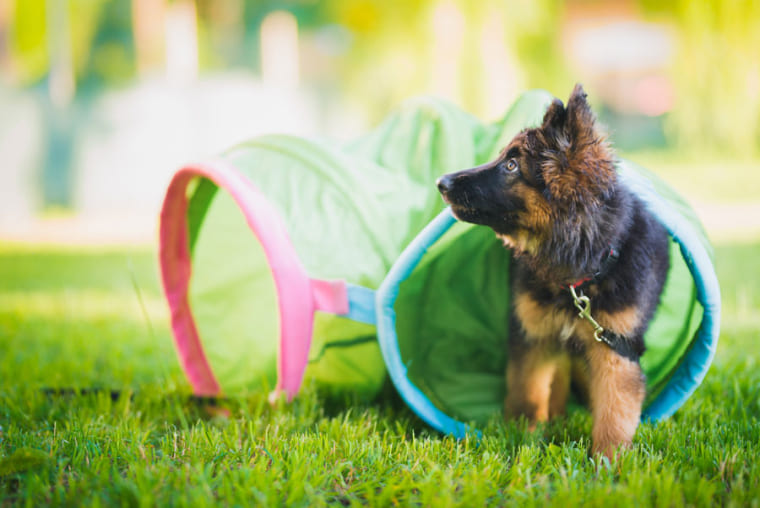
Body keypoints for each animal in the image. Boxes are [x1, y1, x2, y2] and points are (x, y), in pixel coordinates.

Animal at [436, 85, 668, 458]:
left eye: (512, 165)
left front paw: (608, 462)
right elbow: (528, 395)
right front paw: (524, 440)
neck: (577, 275)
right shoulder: (534, 337)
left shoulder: (616, 349)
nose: (441, 182)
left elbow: (614, 413)